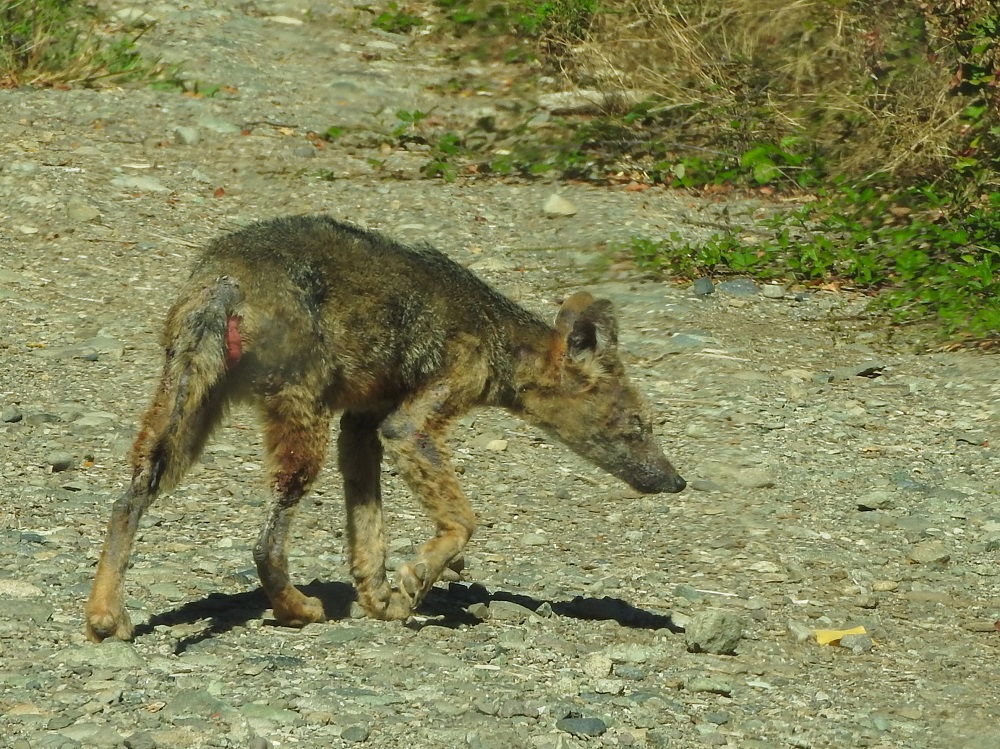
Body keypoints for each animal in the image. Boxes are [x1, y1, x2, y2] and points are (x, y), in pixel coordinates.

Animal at [84, 213, 688, 640]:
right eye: (637, 426)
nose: (677, 481)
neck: (495, 335)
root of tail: (227, 279)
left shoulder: (361, 427)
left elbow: (367, 537)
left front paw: (380, 600)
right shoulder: (407, 425)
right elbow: (463, 521)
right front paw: (418, 576)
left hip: (182, 423)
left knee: (125, 501)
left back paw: (105, 616)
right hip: (297, 431)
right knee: (264, 547)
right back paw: (298, 609)